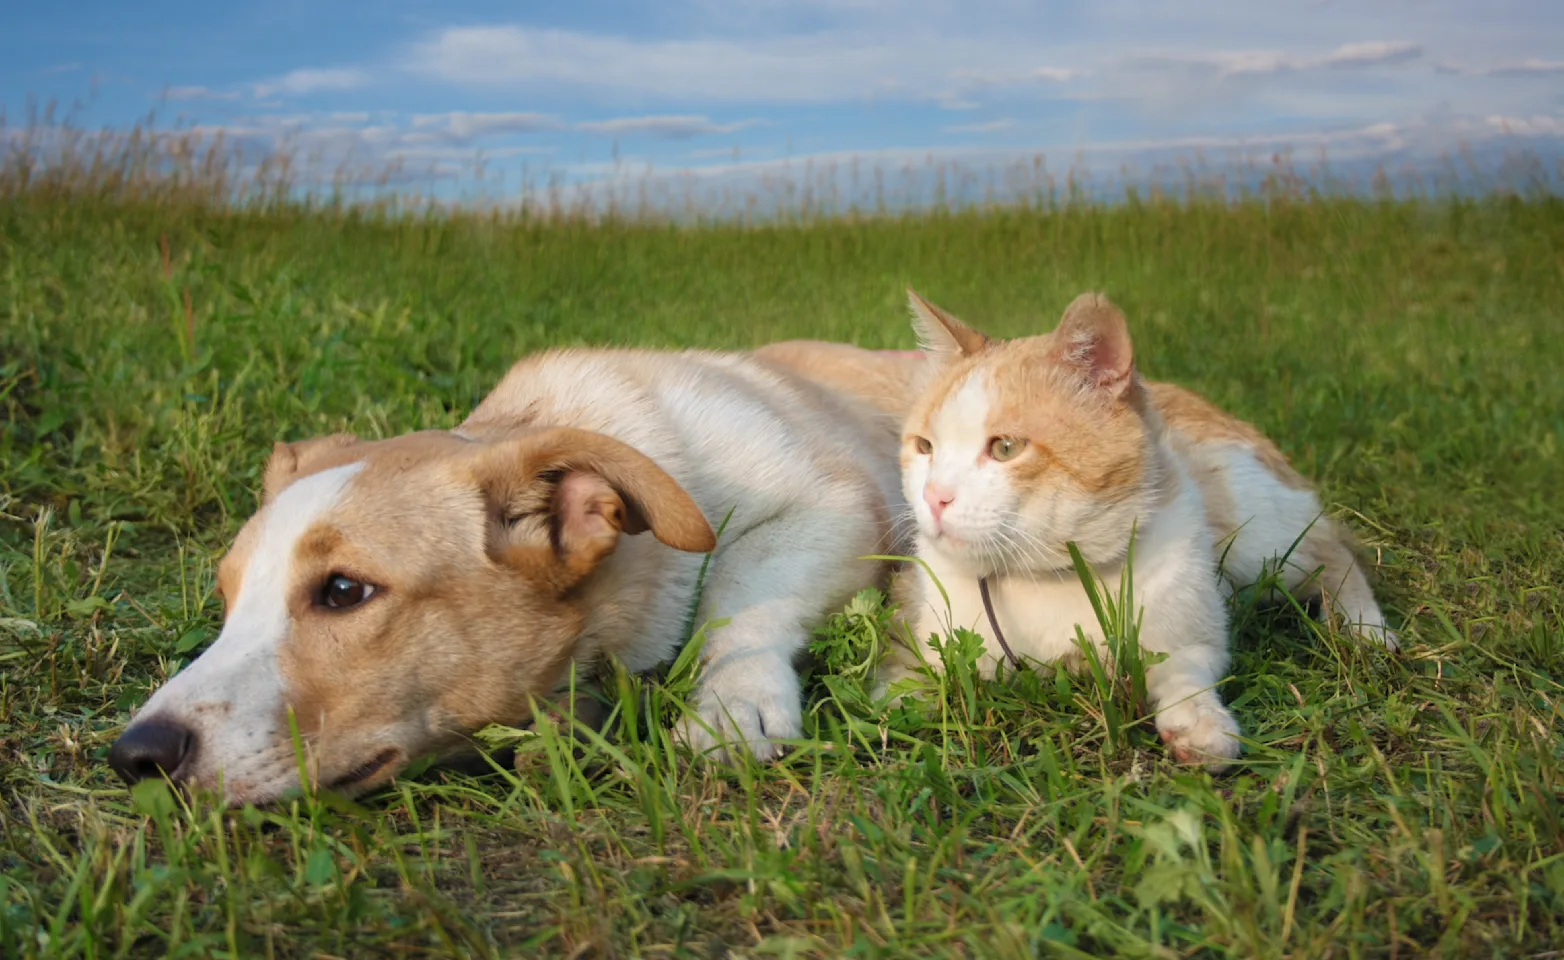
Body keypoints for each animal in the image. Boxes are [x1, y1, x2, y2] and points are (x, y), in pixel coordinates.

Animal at [107, 342, 925, 806]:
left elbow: (741, 590)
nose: (135, 756)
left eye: (343, 591)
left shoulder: (838, 504)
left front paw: (732, 702)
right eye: (226, 598)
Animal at [882, 289, 1395, 772]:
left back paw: (1366, 631)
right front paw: (902, 701)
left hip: (1260, 539)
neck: (1045, 578)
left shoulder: (1192, 627)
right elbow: (912, 679)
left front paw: (1198, 723)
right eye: (924, 447)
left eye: (1006, 447)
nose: (934, 496)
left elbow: (1186, 669)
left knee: (1334, 554)